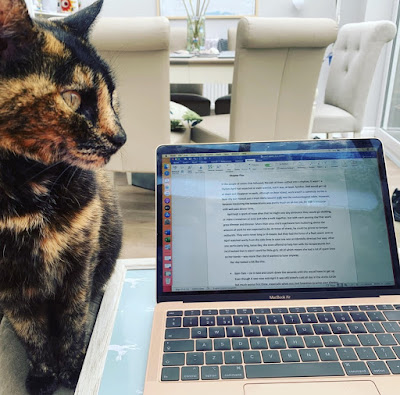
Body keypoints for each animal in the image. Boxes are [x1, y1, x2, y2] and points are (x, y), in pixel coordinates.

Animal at [0, 1, 126, 394]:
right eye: (72, 98)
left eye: (111, 95)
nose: (122, 137)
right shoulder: (10, 285)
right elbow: (30, 332)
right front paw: (43, 375)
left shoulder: (79, 264)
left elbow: (73, 321)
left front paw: (72, 370)